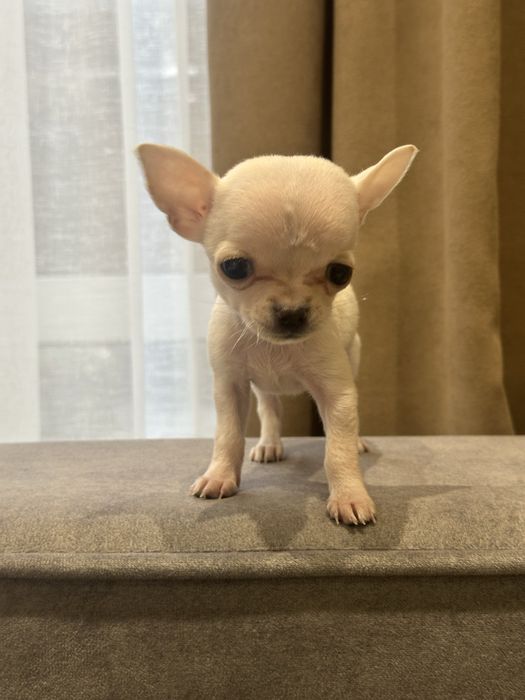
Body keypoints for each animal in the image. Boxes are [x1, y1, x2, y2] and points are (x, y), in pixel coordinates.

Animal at [137, 143, 418, 525]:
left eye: (340, 273)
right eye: (234, 268)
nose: (292, 311)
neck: (273, 349)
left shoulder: (338, 393)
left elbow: (338, 448)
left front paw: (350, 494)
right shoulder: (230, 386)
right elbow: (228, 435)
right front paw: (220, 475)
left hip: (353, 356)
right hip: (261, 387)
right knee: (270, 408)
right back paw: (270, 443)